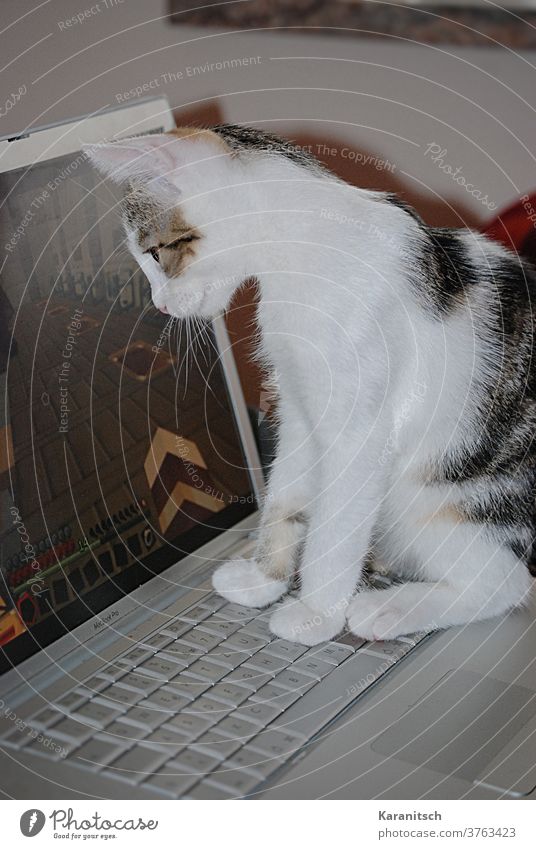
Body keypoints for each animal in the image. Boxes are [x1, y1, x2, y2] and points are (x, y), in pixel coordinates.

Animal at [86, 124, 532, 644]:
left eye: (156, 252)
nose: (159, 305)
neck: (304, 251)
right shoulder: (298, 406)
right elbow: (286, 493)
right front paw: (263, 579)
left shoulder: (358, 431)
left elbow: (334, 528)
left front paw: (316, 613)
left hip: (441, 500)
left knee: (506, 582)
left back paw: (387, 608)